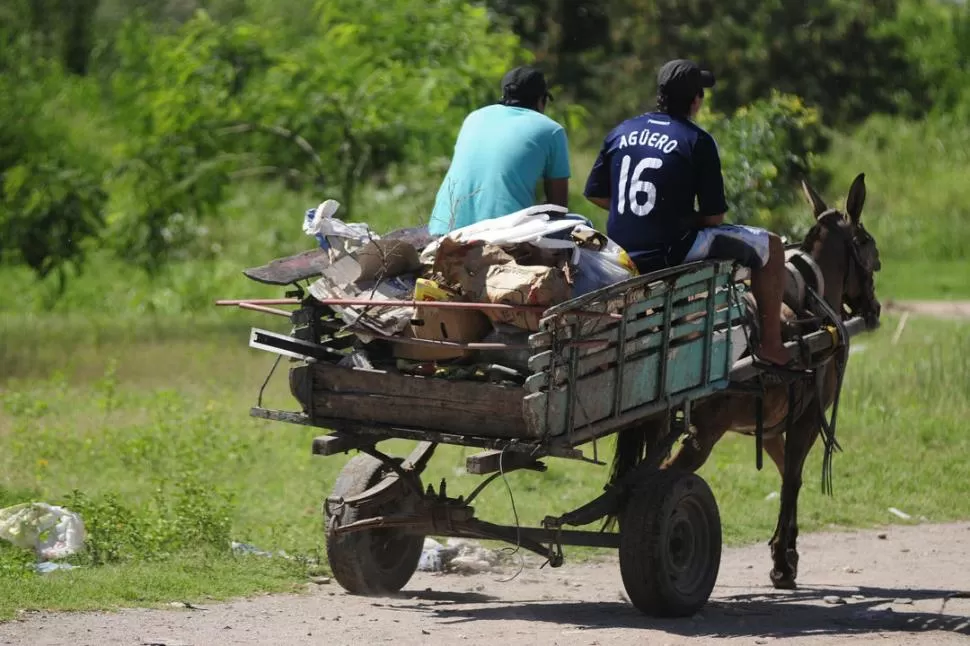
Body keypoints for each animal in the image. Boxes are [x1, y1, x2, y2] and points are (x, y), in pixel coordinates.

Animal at [616, 172, 880, 592]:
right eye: (868, 246)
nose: (875, 308)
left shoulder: (771, 427)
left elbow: (789, 476)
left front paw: (784, 553)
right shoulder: (807, 419)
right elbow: (792, 481)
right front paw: (783, 562)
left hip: (658, 420)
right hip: (703, 432)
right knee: (661, 481)